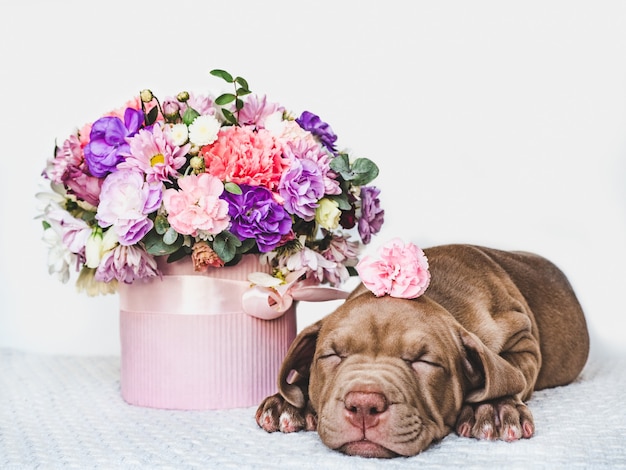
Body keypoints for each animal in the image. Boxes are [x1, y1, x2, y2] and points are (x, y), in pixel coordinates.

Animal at [256, 244, 588, 458]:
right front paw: (288, 403)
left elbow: (510, 374)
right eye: (333, 356)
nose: (363, 405)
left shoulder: (523, 339)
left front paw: (494, 407)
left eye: (423, 361)